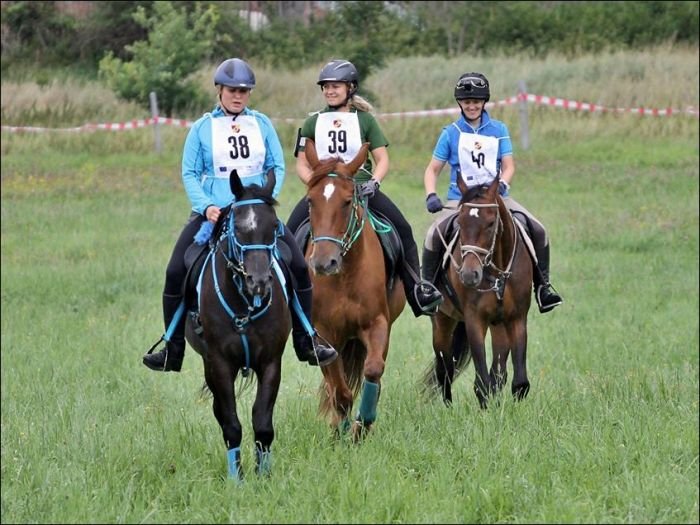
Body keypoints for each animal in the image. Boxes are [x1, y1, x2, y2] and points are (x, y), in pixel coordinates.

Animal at [183, 169, 291, 481]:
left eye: (274, 226)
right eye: (239, 228)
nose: (259, 282)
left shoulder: (271, 361)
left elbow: (263, 422)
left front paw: (263, 475)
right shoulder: (219, 363)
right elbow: (231, 423)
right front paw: (237, 479)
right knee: (220, 411)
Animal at [301, 139, 406, 439]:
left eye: (348, 202)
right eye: (310, 201)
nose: (324, 263)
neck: (344, 277)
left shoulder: (377, 323)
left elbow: (372, 370)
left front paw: (363, 425)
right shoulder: (324, 335)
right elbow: (340, 392)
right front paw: (341, 431)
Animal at [423, 176, 533, 409]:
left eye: (491, 223)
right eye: (461, 222)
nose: (469, 275)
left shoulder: (517, 318)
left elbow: (519, 381)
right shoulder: (474, 319)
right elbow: (481, 381)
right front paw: (486, 411)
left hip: (498, 325)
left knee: (498, 371)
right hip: (442, 322)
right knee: (444, 367)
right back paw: (448, 408)